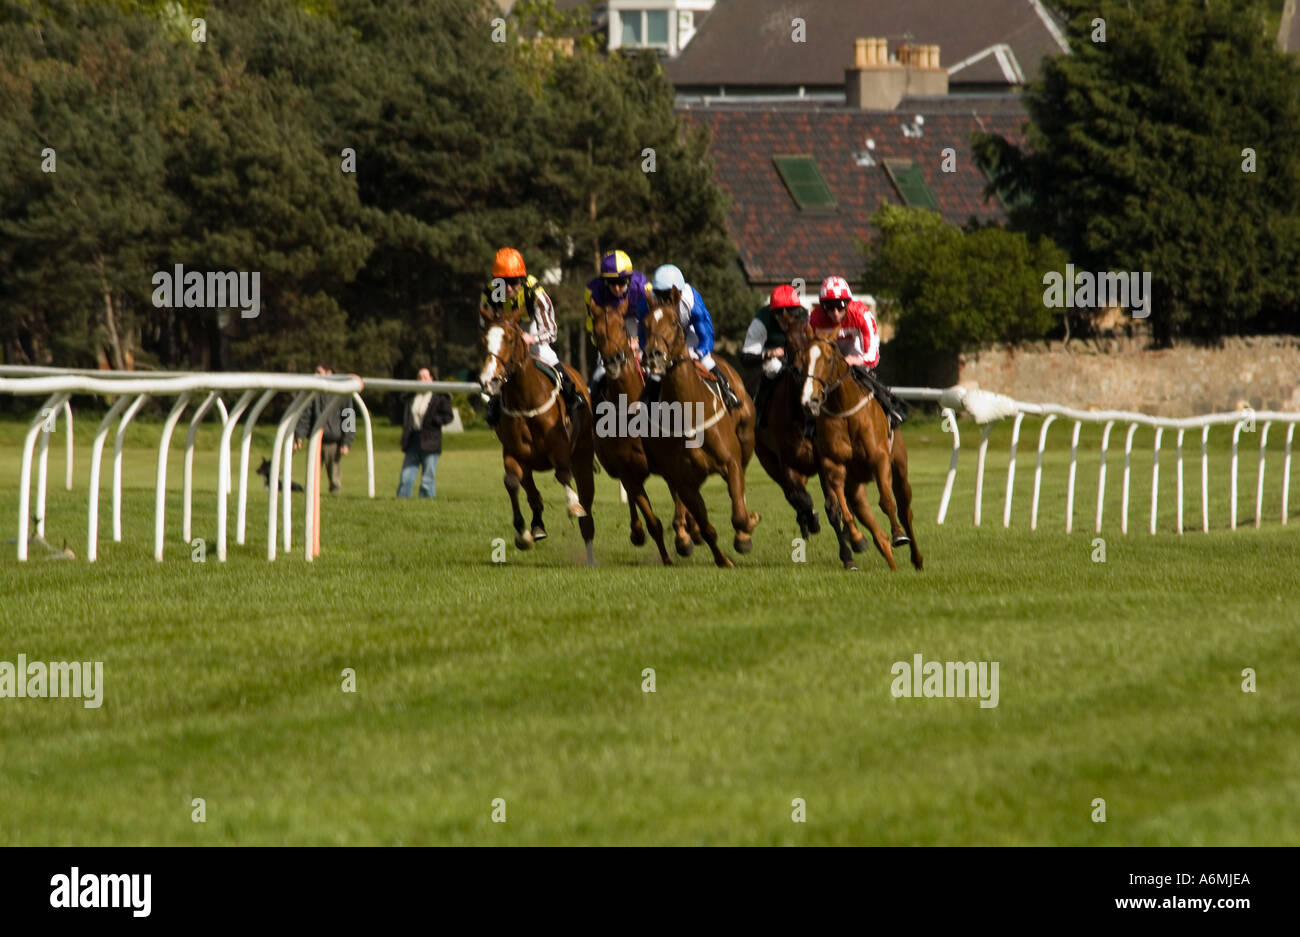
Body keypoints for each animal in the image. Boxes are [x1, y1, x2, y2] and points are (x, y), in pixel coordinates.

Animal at [480, 310, 595, 566]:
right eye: (484, 340)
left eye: (510, 340)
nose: (489, 381)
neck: (526, 402)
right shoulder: (514, 453)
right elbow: (512, 482)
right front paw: (523, 533)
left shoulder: (560, 448)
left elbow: (563, 474)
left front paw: (573, 506)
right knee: (531, 492)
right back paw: (537, 526)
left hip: (583, 454)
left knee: (587, 502)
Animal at [642, 284, 759, 566]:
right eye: (645, 324)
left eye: (674, 322)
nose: (652, 355)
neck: (689, 414)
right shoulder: (684, 480)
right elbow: (707, 528)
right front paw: (722, 560)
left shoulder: (730, 462)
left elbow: (739, 515)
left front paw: (746, 531)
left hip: (746, 439)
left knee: (741, 484)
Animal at [790, 335, 925, 569]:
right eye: (802, 361)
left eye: (828, 359)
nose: (809, 401)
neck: (844, 411)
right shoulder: (833, 463)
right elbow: (842, 507)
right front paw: (856, 537)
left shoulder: (880, 458)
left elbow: (886, 501)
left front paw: (898, 534)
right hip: (856, 486)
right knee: (868, 518)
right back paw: (889, 559)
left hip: (899, 469)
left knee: (904, 510)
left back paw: (915, 558)